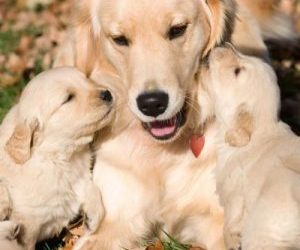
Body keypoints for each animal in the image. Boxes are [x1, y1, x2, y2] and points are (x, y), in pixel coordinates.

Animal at [0, 67, 115, 250]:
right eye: (68, 98)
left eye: (87, 79)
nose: (107, 93)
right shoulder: (28, 223)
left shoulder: (80, 176)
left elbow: (92, 189)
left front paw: (92, 219)